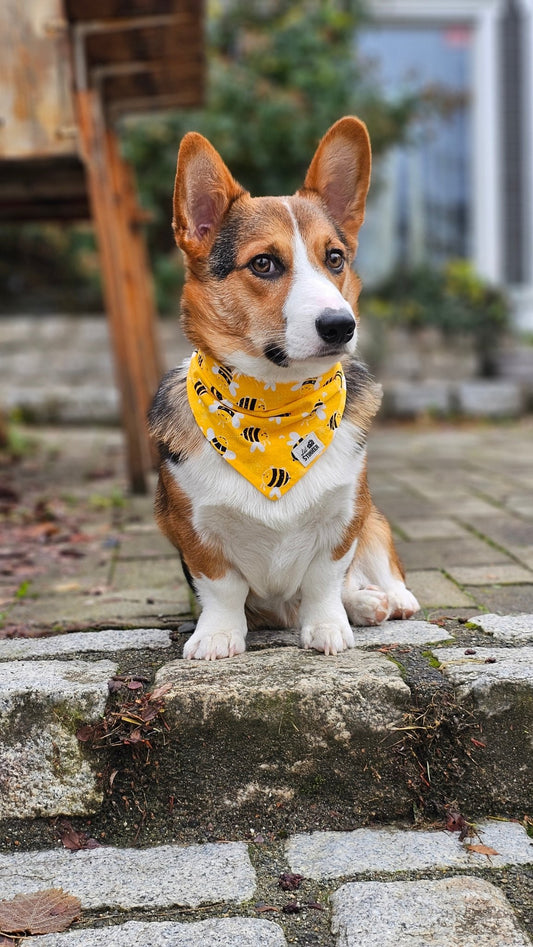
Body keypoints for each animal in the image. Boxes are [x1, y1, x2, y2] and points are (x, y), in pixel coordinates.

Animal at [148, 116, 418, 660]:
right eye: (264, 264)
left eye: (334, 259)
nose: (341, 325)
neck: (273, 413)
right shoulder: (193, 529)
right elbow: (222, 587)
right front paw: (218, 636)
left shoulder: (344, 517)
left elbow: (324, 579)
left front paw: (329, 628)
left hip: (375, 518)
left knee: (377, 565)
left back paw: (386, 600)